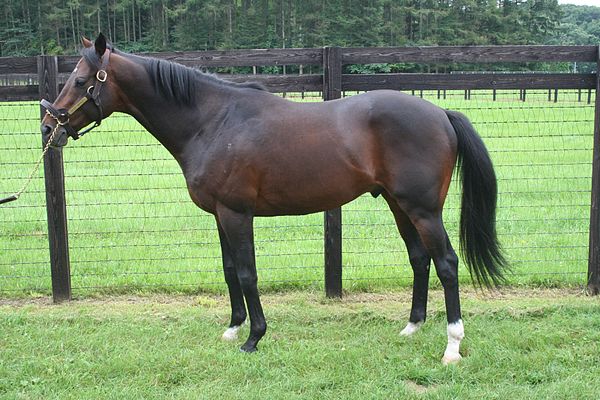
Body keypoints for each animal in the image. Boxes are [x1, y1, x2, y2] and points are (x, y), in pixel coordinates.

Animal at [39, 34, 504, 364]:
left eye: (79, 81)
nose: (48, 126)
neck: (213, 121)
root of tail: (440, 113)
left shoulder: (237, 214)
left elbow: (247, 274)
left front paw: (254, 338)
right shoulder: (219, 215)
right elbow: (229, 271)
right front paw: (232, 329)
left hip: (423, 210)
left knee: (446, 263)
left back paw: (451, 347)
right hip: (397, 204)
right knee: (419, 259)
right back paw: (411, 328)